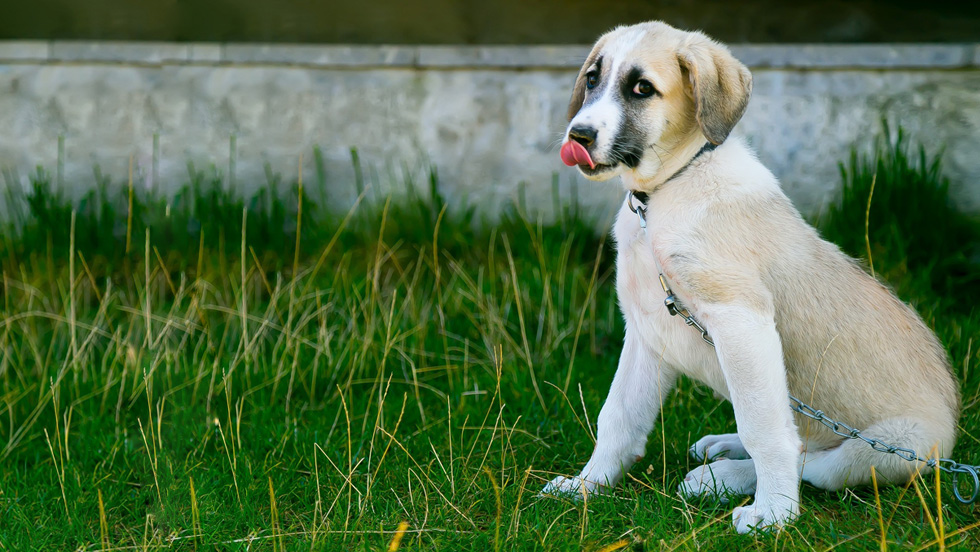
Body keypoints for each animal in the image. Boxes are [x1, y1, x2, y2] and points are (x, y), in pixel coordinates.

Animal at [540, 22, 960, 536]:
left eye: (642, 88)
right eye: (593, 79)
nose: (577, 135)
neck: (666, 193)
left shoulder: (741, 320)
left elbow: (765, 430)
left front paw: (774, 512)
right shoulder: (647, 331)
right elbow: (617, 416)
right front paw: (588, 486)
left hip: (897, 447)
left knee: (814, 460)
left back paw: (722, 478)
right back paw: (723, 447)